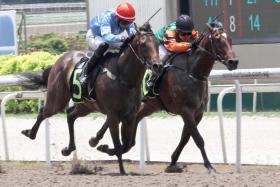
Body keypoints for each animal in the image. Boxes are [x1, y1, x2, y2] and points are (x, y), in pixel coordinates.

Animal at [19, 22, 162, 175]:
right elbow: (119, 145)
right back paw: (30, 133)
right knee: (43, 111)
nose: (158, 66)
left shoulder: (130, 115)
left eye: (157, 43)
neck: (124, 78)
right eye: (143, 44)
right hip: (58, 99)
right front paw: (122, 171)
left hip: (86, 106)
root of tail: (61, 59)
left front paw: (103, 147)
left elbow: (128, 144)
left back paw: (68, 149)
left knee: (70, 115)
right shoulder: (112, 114)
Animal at [72, 22, 238, 173]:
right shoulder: (186, 110)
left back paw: (102, 143)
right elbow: (198, 138)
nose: (233, 62)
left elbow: (185, 138)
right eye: (217, 39)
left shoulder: (198, 113)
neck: (191, 72)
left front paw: (173, 162)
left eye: (230, 39)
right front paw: (209, 166)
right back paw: (101, 143)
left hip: (147, 107)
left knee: (128, 133)